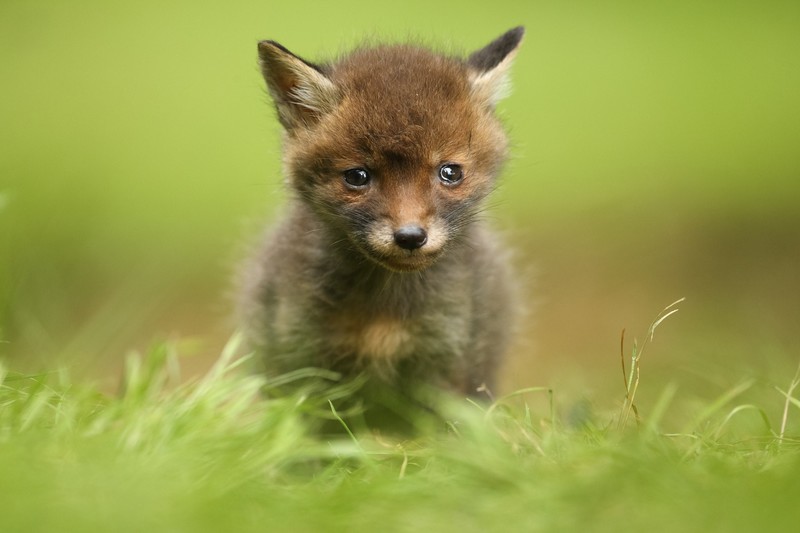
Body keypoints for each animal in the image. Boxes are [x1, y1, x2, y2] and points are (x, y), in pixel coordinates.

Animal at [239, 27, 524, 407]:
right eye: (357, 176)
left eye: (450, 172)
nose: (410, 236)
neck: (385, 308)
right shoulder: (304, 357)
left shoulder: (448, 357)